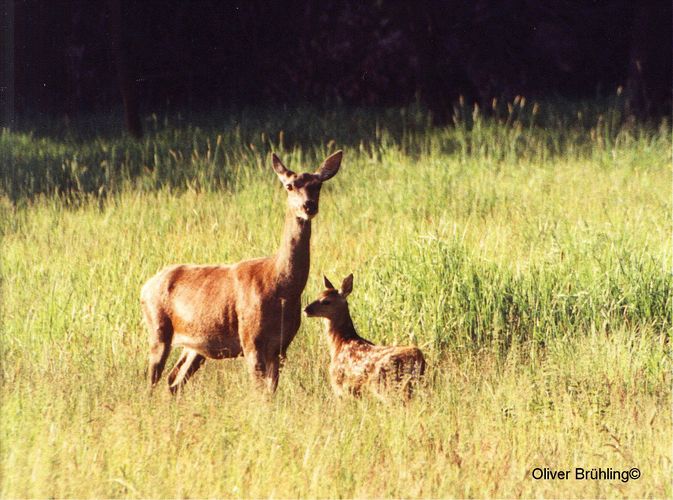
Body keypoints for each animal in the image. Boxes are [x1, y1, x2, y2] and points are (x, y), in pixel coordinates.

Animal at [140, 150, 342, 392]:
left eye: (318, 185)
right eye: (289, 186)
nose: (308, 206)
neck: (281, 287)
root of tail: (144, 287)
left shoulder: (281, 347)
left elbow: (271, 392)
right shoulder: (250, 340)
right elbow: (260, 392)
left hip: (196, 345)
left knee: (174, 380)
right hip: (157, 328)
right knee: (152, 380)